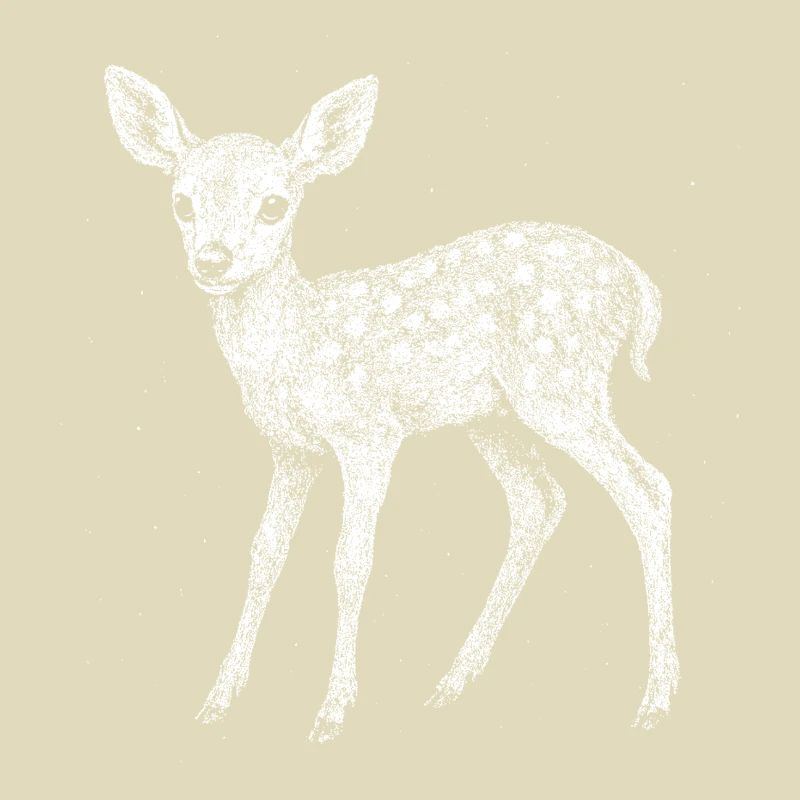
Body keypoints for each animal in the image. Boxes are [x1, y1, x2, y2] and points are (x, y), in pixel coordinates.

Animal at [104, 65, 679, 742]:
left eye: (275, 204)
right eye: (182, 202)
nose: (213, 260)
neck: (295, 344)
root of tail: (640, 285)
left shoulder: (368, 433)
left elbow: (350, 559)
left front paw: (332, 710)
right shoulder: (292, 449)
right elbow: (265, 551)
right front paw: (219, 698)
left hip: (561, 384)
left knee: (647, 488)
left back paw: (656, 699)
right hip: (495, 415)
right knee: (539, 500)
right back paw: (454, 681)